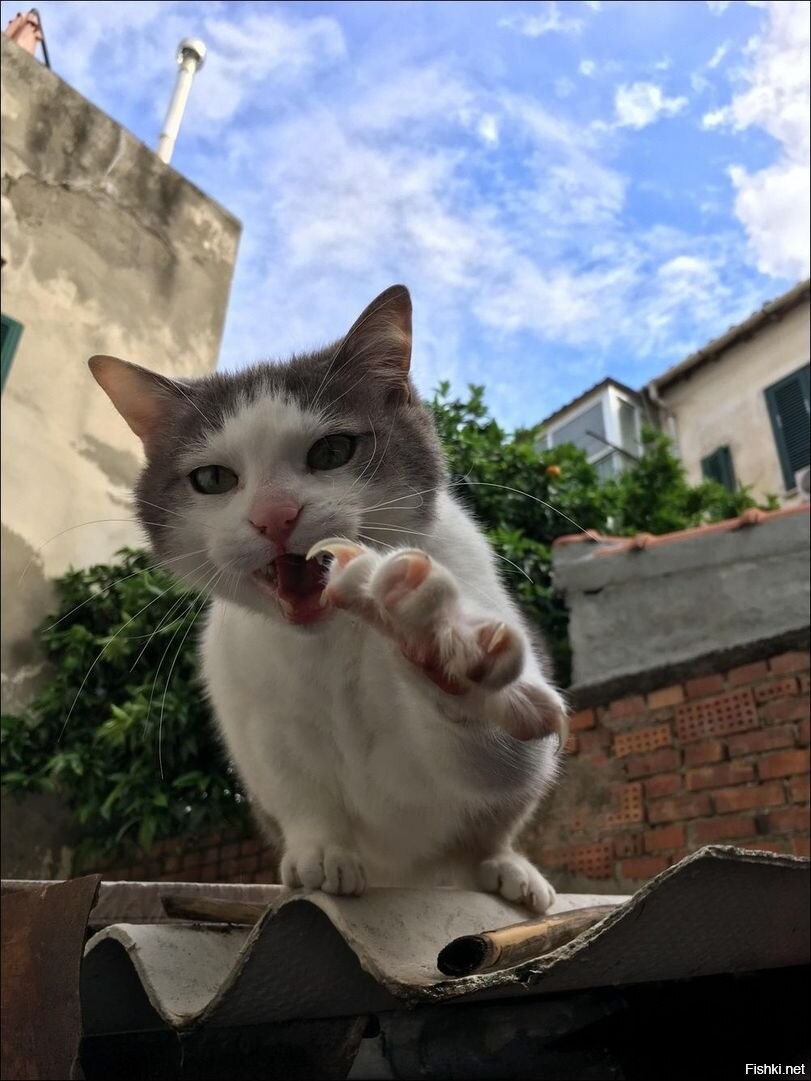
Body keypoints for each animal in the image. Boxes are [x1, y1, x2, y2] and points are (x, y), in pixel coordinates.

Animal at [89, 285, 568, 912]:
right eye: (213, 479)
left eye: (333, 450)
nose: (274, 516)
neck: (329, 641)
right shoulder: (256, 719)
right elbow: (297, 790)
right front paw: (321, 851)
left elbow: (500, 760)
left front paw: (443, 648)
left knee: (486, 835)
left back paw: (505, 867)